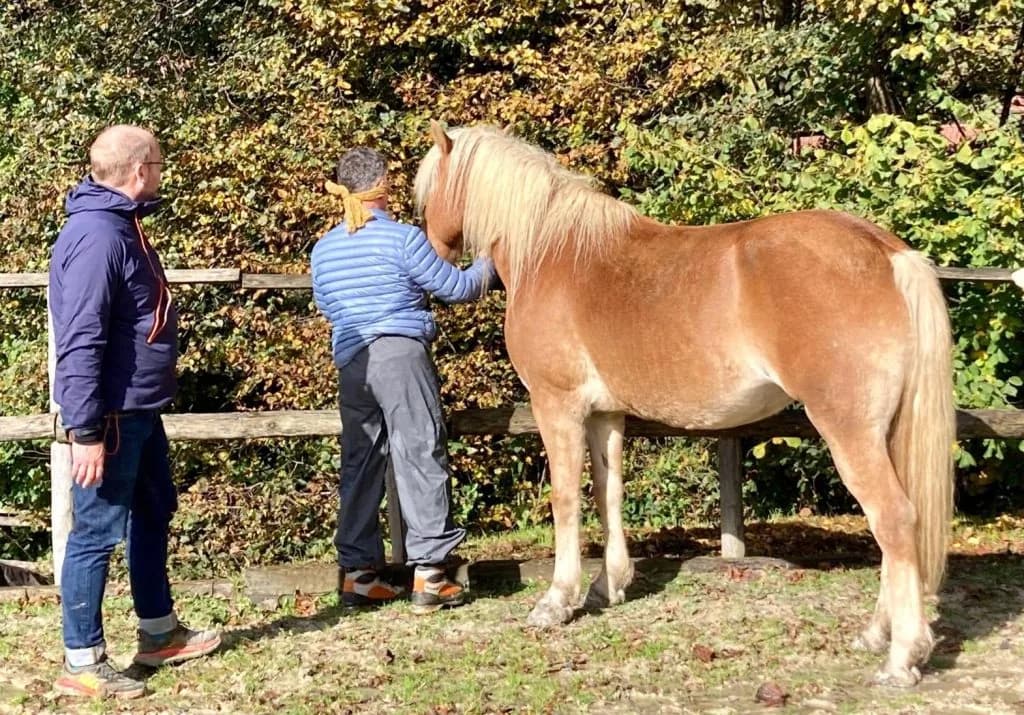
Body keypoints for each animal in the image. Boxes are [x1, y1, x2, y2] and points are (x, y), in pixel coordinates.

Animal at [413, 121, 955, 687]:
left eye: (428, 192)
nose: (429, 250)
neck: (552, 254)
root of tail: (887, 254)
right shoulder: (605, 414)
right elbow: (609, 492)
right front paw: (609, 586)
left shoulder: (556, 405)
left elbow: (565, 499)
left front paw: (557, 601)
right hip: (885, 431)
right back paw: (876, 634)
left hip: (848, 430)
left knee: (893, 519)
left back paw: (901, 657)